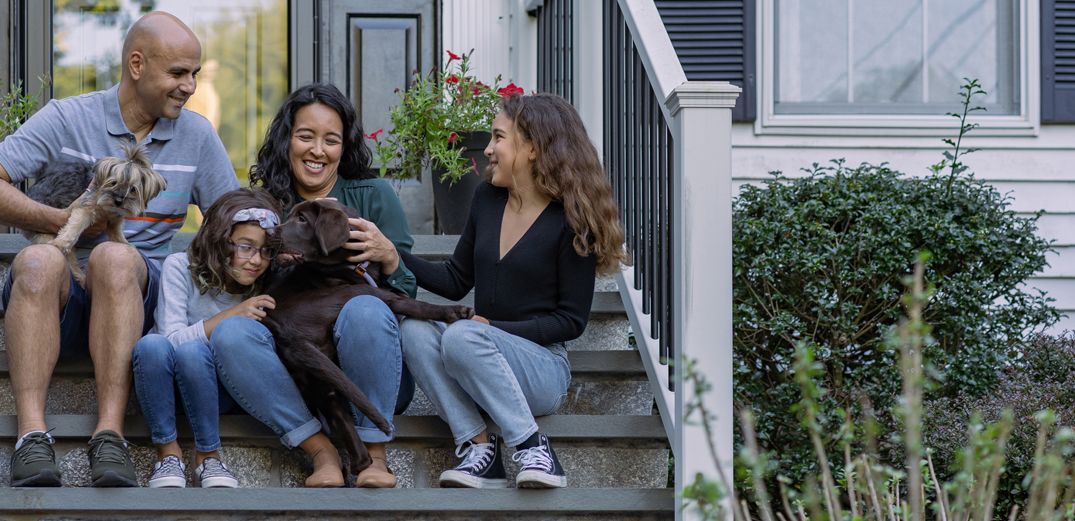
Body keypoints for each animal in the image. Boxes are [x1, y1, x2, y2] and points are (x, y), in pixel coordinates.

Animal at [24, 141, 165, 283]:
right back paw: (79, 275)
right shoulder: (85, 208)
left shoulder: (114, 221)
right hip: (44, 231)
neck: (108, 208)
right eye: (113, 183)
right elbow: (74, 227)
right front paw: (61, 242)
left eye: (133, 189)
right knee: (68, 257)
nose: (119, 200)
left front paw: (126, 245)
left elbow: (118, 236)